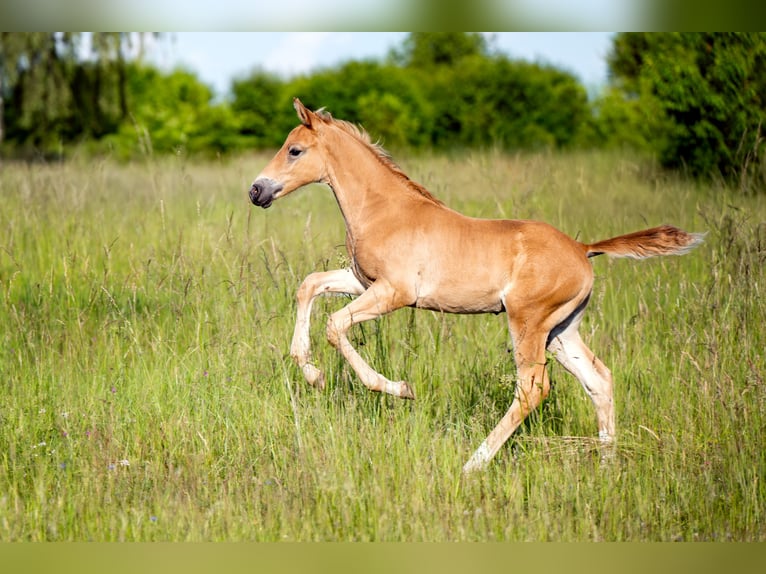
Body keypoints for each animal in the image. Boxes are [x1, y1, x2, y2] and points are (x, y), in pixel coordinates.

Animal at [249, 98, 704, 473]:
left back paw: (474, 463)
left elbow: (336, 325)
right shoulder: (363, 282)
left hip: (528, 322)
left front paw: (398, 388)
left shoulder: (395, 293)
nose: (256, 190)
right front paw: (311, 372)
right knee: (598, 379)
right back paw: (607, 463)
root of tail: (582, 248)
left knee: (533, 388)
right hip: (561, 329)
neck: (384, 209)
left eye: (294, 150)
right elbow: (309, 286)